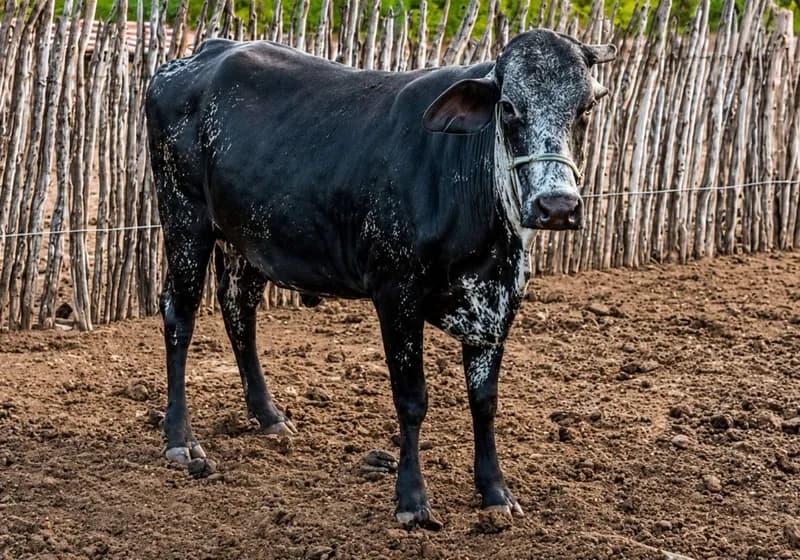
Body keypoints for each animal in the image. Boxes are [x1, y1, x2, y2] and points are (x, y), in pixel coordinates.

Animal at [145, 28, 615, 530]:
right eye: (507, 107)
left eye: (586, 106)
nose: (558, 206)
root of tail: (206, 51)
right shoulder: (396, 295)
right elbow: (412, 399)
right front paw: (412, 499)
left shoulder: (497, 303)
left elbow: (484, 401)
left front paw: (495, 491)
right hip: (185, 221)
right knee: (179, 316)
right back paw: (180, 438)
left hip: (244, 242)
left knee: (238, 312)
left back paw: (269, 415)